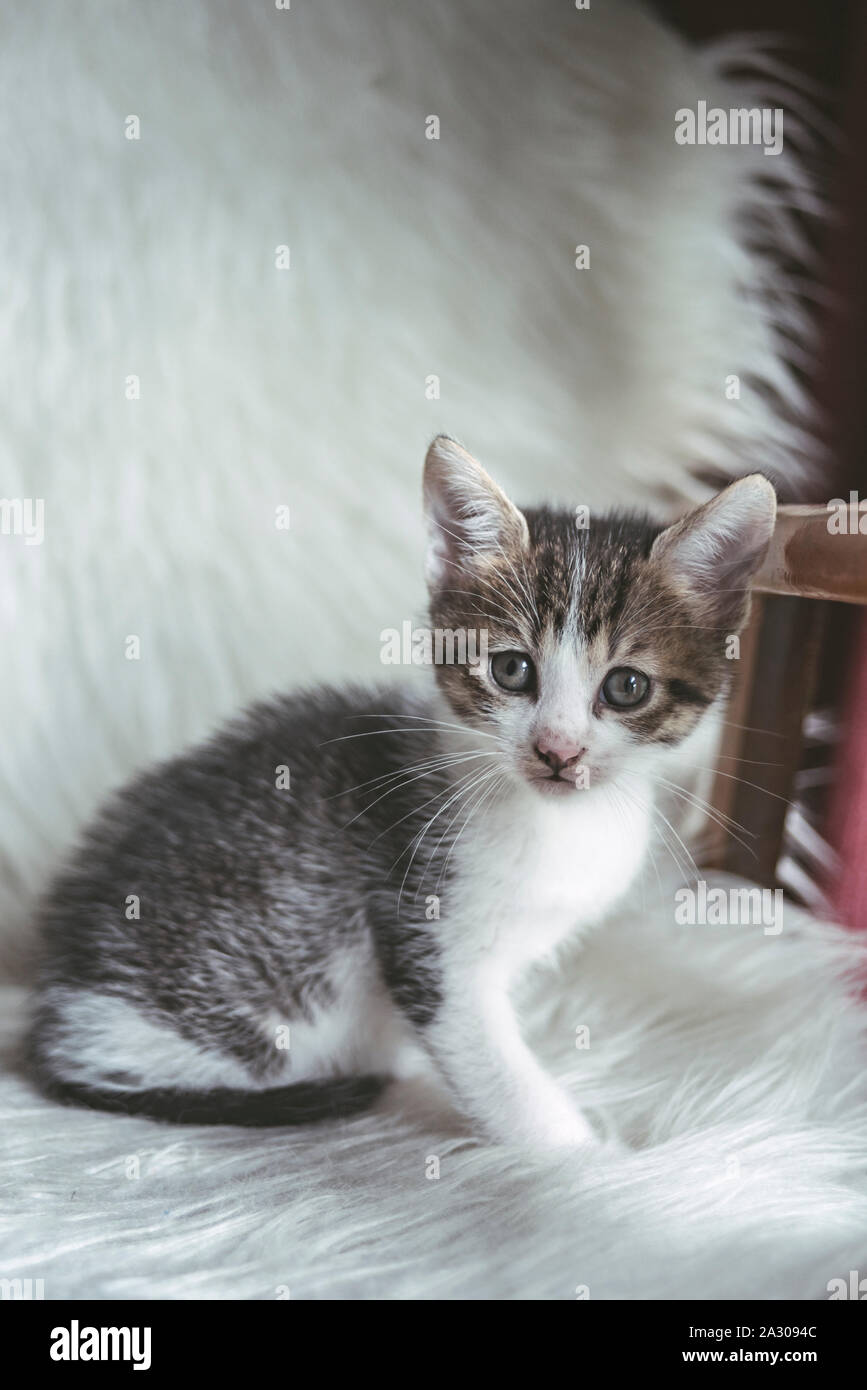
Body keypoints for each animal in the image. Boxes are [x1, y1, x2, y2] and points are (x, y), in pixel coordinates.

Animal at [27, 436, 778, 1150]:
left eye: (626, 686)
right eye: (511, 670)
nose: (557, 751)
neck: (558, 826)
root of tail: (60, 998)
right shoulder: (424, 926)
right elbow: (494, 1069)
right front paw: (583, 1159)